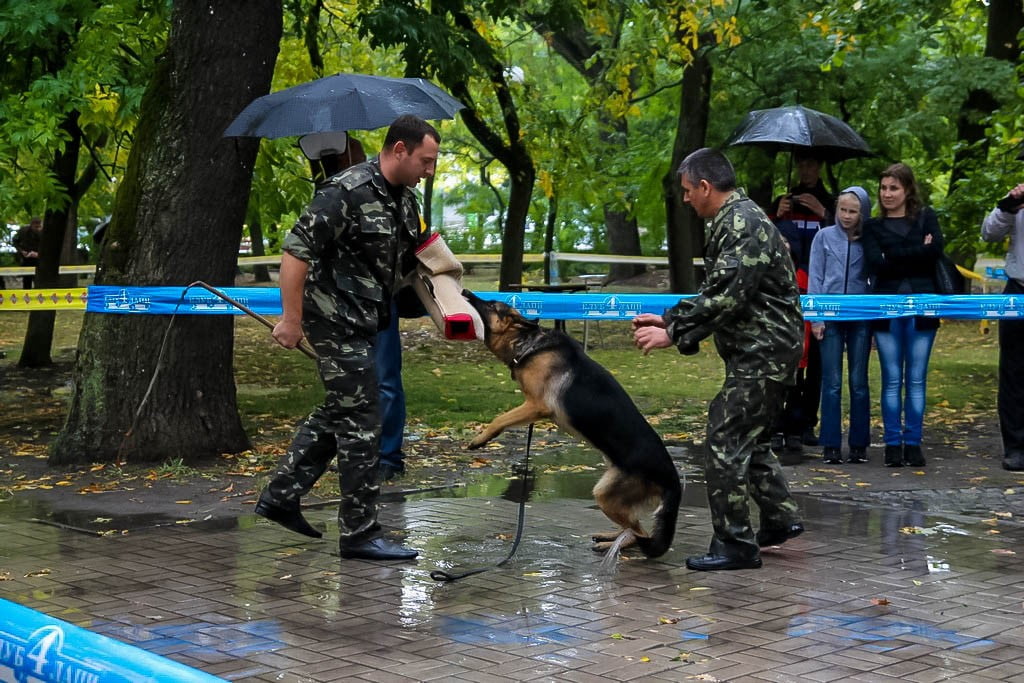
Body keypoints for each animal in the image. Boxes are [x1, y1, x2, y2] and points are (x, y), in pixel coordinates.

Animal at [464, 290, 679, 557]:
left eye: (492, 305)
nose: (466, 292)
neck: (527, 343)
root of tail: (672, 481)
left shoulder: (537, 405)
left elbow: (500, 418)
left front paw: (480, 439)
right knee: (634, 527)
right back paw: (610, 537)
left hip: (606, 495)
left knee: (641, 533)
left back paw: (614, 544)